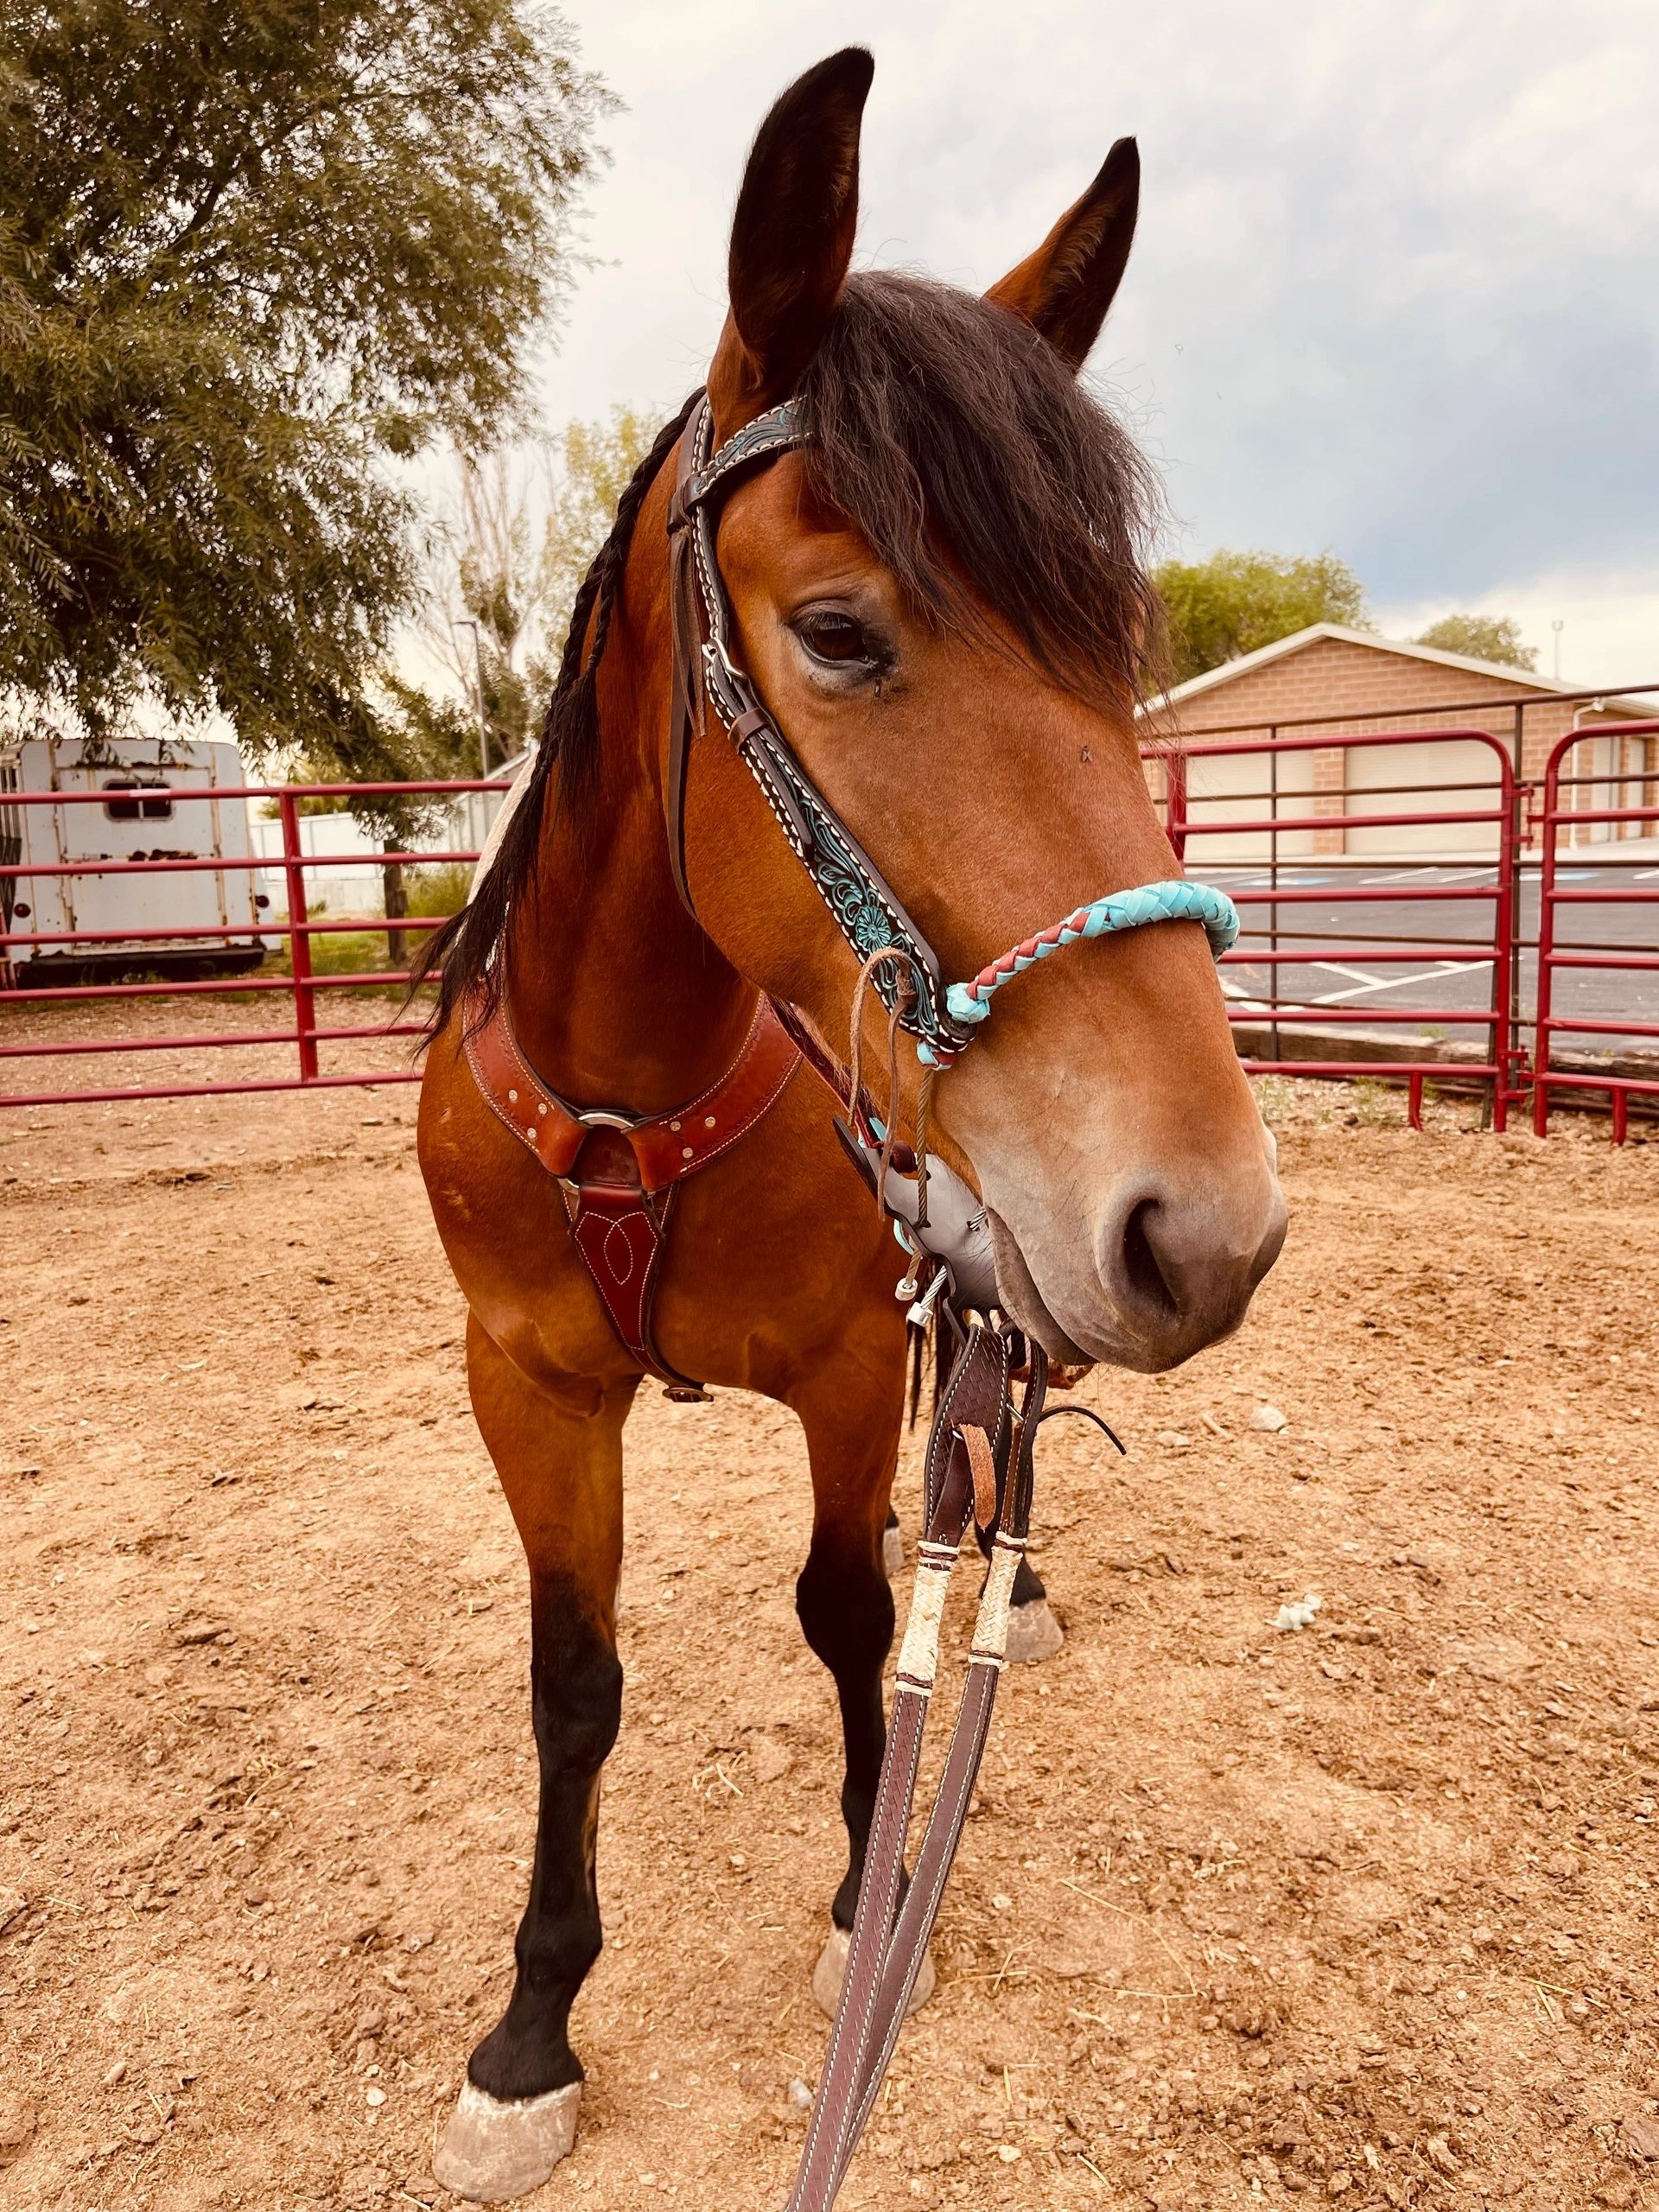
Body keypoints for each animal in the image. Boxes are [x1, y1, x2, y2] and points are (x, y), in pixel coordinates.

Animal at [414, 48, 1286, 2203]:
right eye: (836, 631)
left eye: (1118, 639)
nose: (1212, 1218)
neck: (628, 1093)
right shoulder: (522, 1385)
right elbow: (574, 1682)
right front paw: (533, 2026)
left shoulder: (833, 1363)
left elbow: (848, 1610)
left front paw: (862, 1897)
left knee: (999, 1437)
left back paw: (1016, 1588)